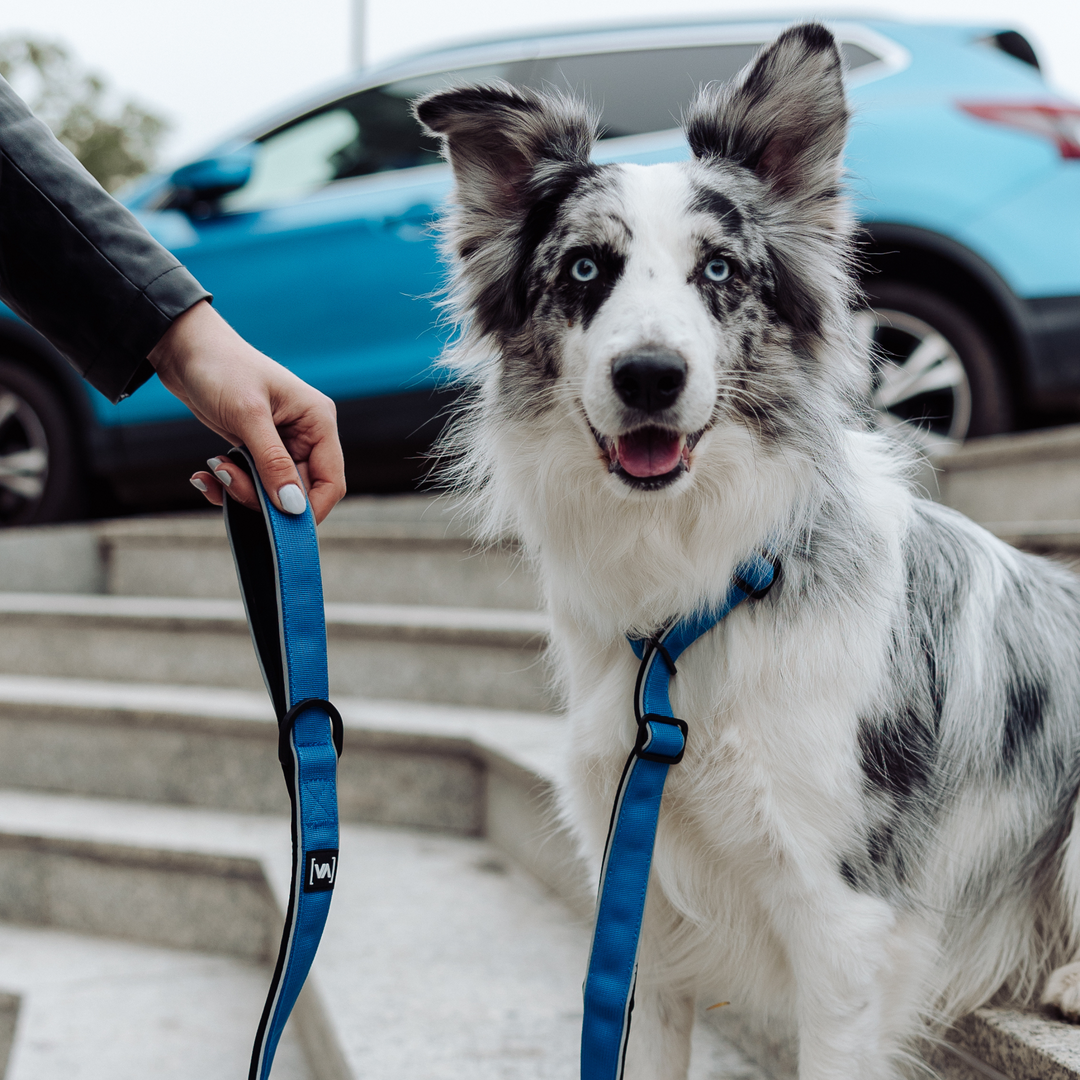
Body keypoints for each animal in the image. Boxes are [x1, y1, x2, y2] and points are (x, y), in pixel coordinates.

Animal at [419, 25, 1080, 1080]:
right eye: (585, 270)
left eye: (720, 271)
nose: (650, 377)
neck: (703, 588)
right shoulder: (643, 908)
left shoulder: (843, 924)